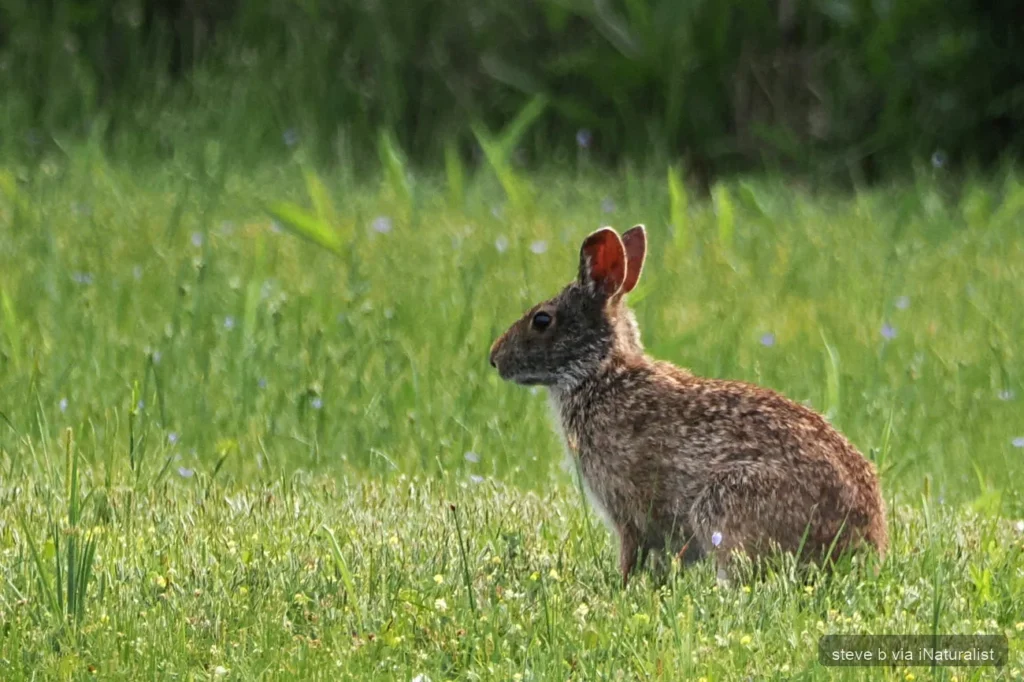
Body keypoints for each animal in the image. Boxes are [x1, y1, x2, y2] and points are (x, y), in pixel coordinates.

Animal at [488, 225, 888, 586]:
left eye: (542, 320)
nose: (494, 358)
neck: (601, 373)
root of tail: (864, 543)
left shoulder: (630, 510)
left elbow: (632, 551)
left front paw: (621, 585)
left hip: (727, 501)